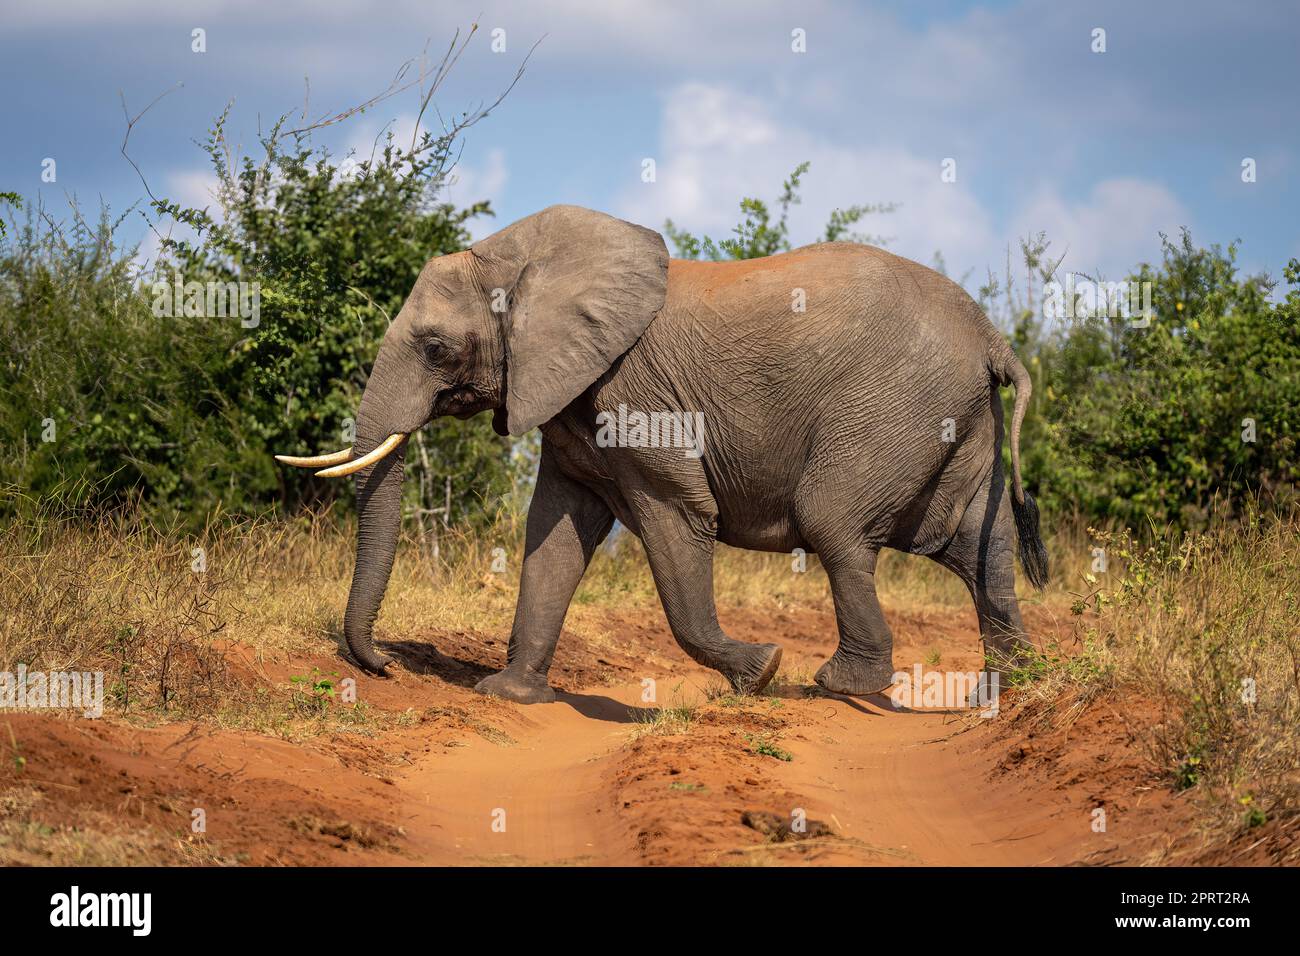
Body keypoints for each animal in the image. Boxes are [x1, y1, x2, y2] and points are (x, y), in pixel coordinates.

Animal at [277, 205, 1048, 703]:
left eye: (436, 350)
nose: (382, 667)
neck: (522, 259)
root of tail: (992, 334)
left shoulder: (634, 395)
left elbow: (676, 518)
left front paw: (760, 673)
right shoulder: (569, 399)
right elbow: (555, 533)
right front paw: (508, 695)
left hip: (893, 407)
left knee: (834, 522)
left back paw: (837, 686)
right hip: (952, 419)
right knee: (976, 546)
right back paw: (1006, 691)